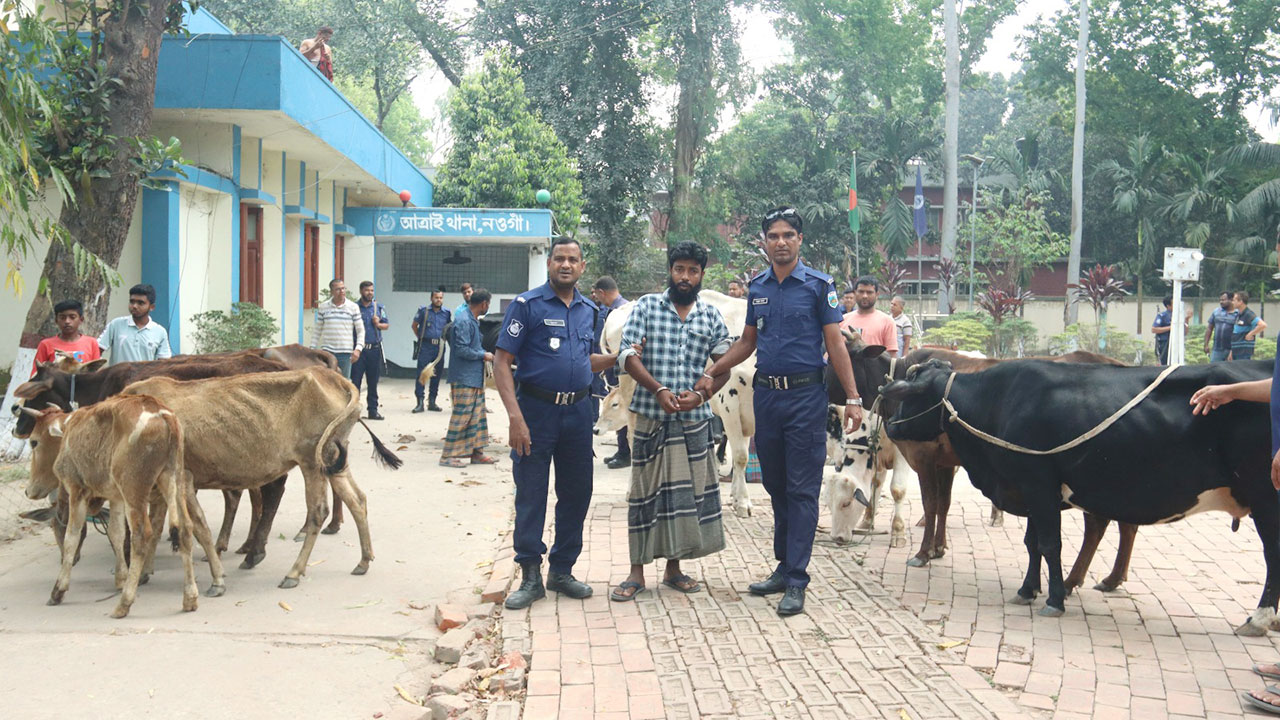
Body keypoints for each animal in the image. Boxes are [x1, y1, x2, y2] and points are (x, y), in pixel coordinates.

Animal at [20, 392, 197, 617]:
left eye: (34, 442)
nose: (28, 490)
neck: (69, 429)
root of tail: (161, 413)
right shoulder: (116, 497)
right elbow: (116, 533)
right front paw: (121, 578)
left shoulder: (77, 490)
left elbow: (72, 537)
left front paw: (58, 590)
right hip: (174, 479)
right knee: (185, 530)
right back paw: (189, 598)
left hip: (134, 489)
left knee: (141, 536)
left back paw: (124, 604)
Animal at [120, 366, 399, 591]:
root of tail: (333, 378)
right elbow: (157, 526)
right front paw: (145, 571)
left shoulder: (184, 479)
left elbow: (198, 527)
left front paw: (216, 579)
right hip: (334, 459)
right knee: (357, 500)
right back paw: (363, 560)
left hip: (312, 462)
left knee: (318, 512)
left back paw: (293, 572)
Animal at [880, 356, 1280, 630]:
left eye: (911, 397)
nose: (892, 426)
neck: (1002, 400)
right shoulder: (1030, 490)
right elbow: (1032, 544)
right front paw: (1028, 589)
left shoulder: (1037, 484)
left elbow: (1049, 544)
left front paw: (1054, 599)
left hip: (1266, 497)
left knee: (1272, 555)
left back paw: (1260, 618)